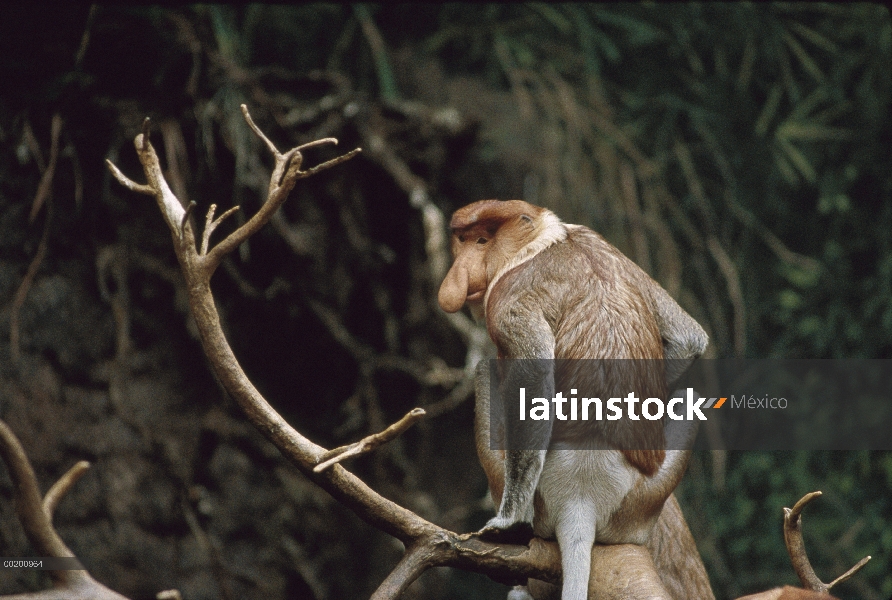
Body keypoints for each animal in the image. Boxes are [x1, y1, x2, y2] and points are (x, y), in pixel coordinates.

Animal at [438, 200, 712, 600]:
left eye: (481, 240)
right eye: (462, 239)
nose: (460, 272)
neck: (542, 241)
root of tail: (582, 498)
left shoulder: (507, 300)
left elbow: (534, 381)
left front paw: (507, 525)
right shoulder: (603, 244)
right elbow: (688, 338)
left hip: (549, 499)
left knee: (486, 371)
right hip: (643, 501)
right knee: (693, 397)